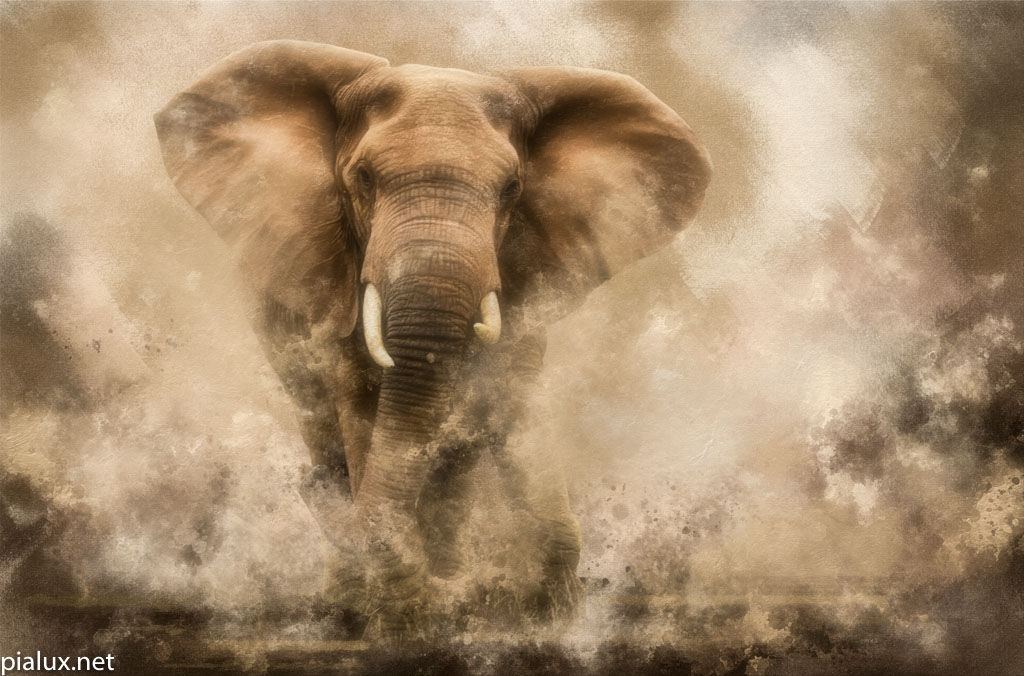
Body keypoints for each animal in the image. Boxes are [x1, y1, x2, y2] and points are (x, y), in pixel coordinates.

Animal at [154, 40, 711, 632]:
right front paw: (399, 618)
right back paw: (351, 601)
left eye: (512, 189)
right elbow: (360, 407)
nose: (305, 484)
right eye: (364, 178)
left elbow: (510, 399)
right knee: (323, 423)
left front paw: (545, 614)